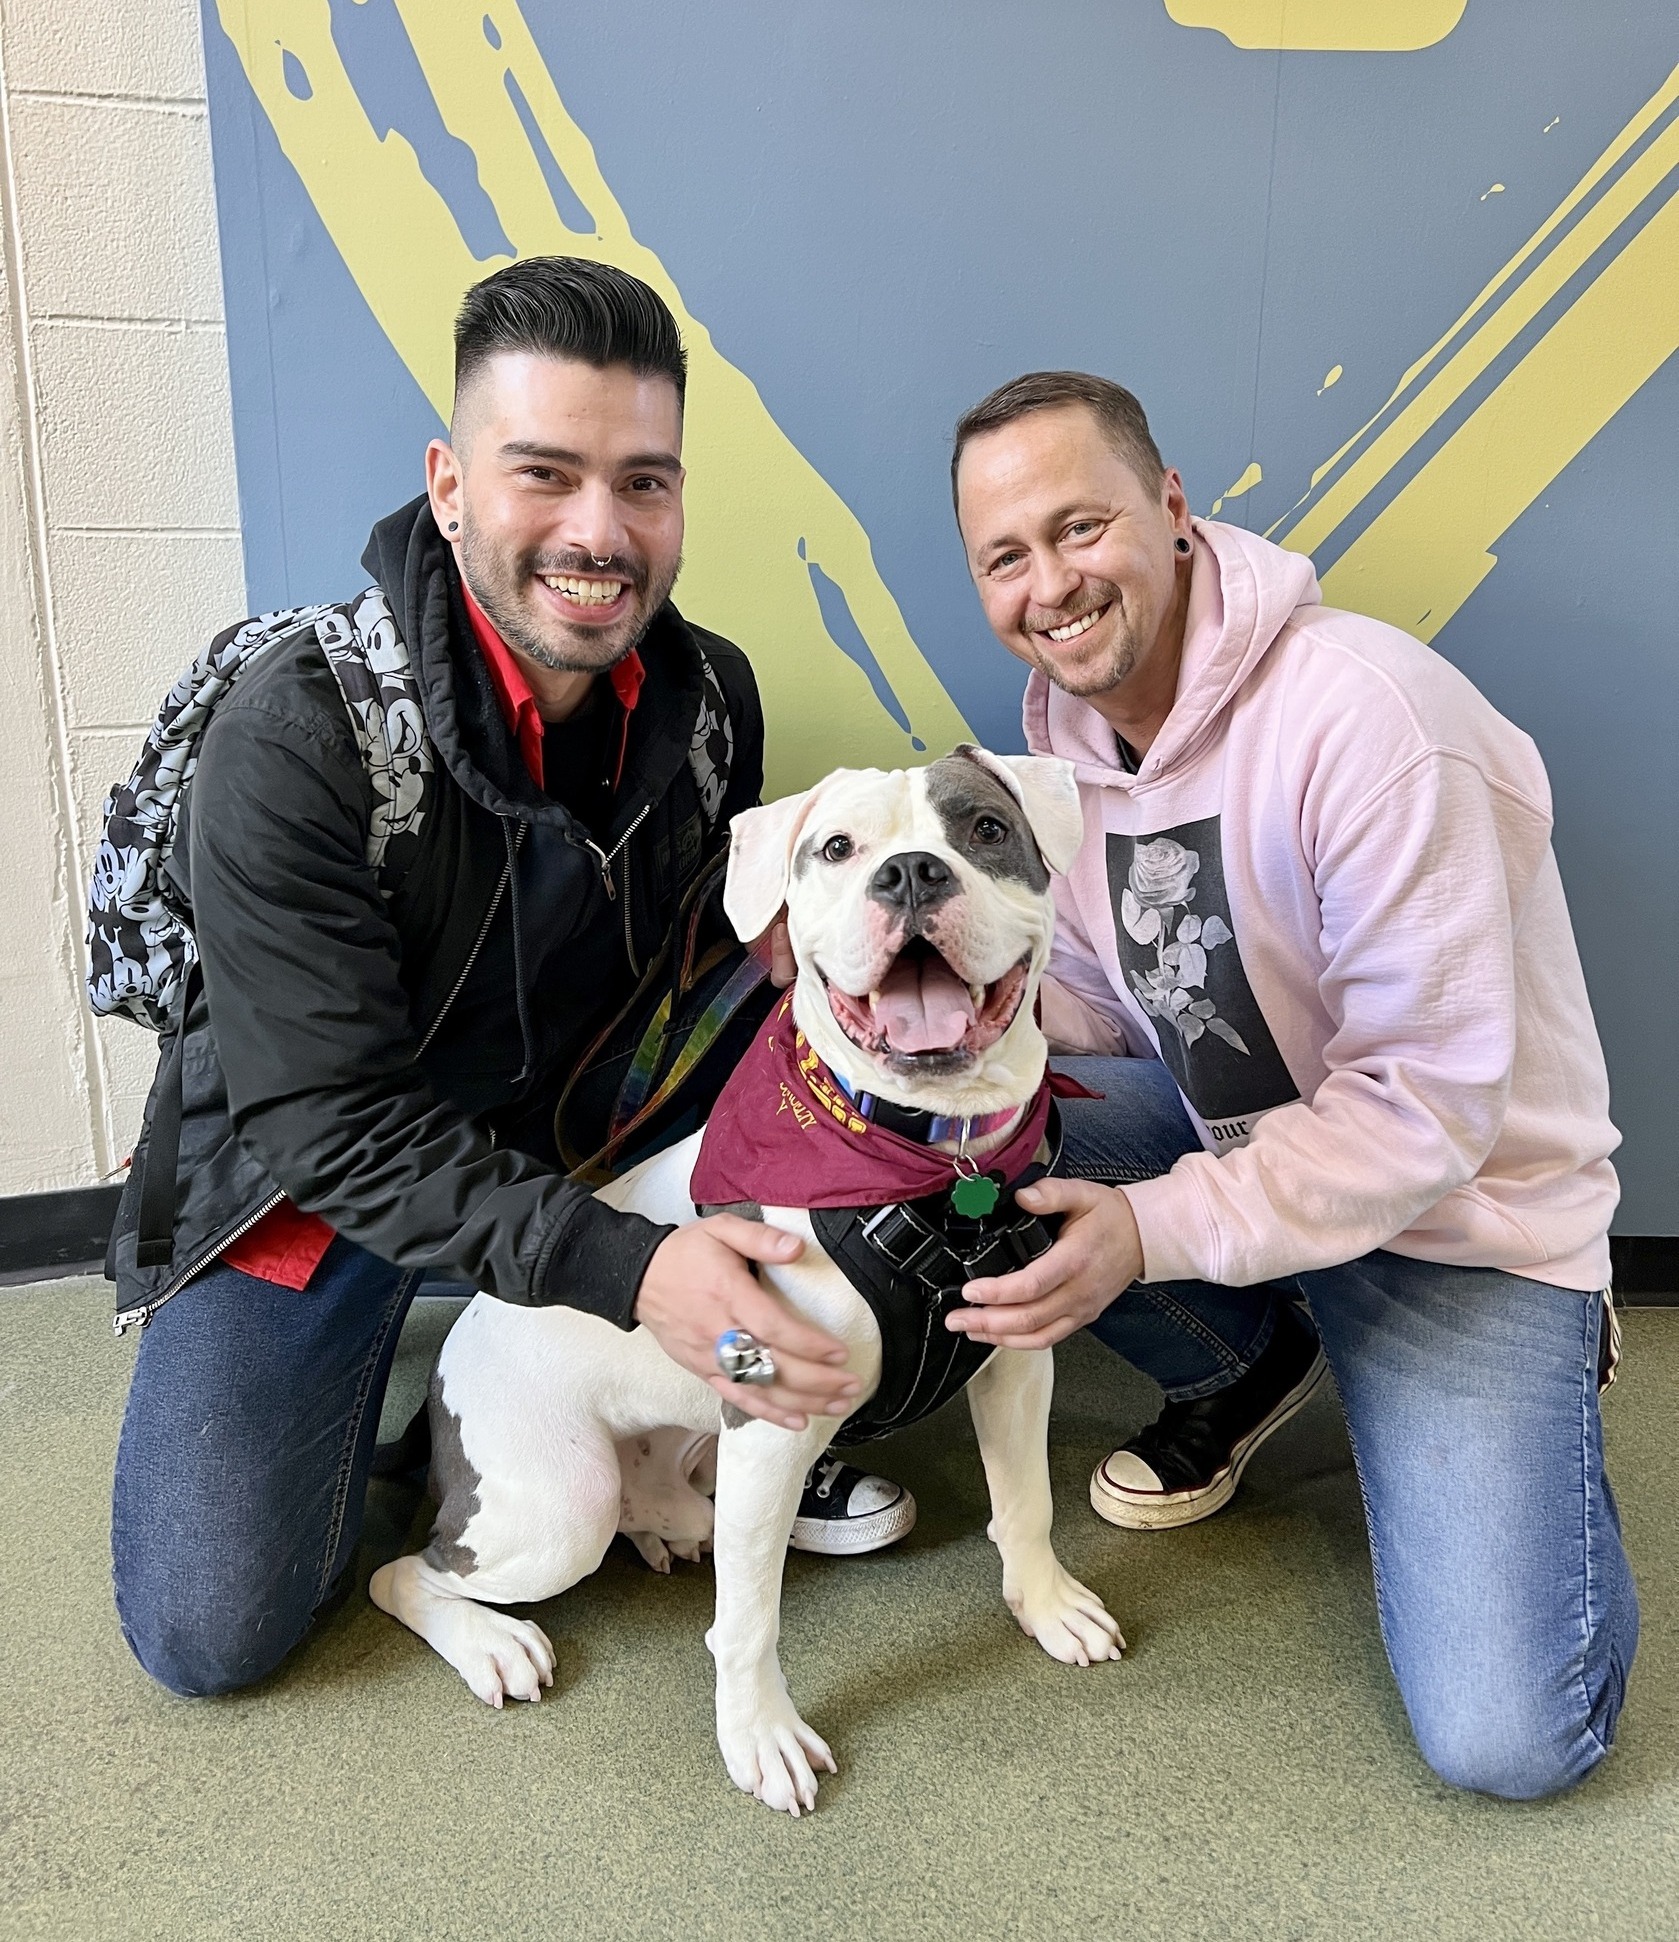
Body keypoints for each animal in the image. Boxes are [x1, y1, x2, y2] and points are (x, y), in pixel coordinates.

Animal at [372, 749, 1118, 1809]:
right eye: (838, 849)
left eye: (983, 830)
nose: (911, 874)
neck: (933, 1166)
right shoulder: (773, 1426)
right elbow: (749, 1622)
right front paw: (759, 1737)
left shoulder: (1016, 1358)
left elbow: (1026, 1503)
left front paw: (1047, 1605)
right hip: (563, 1506)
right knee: (406, 1573)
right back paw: (490, 1642)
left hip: (690, 1449)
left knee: (659, 1500)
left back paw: (672, 1526)